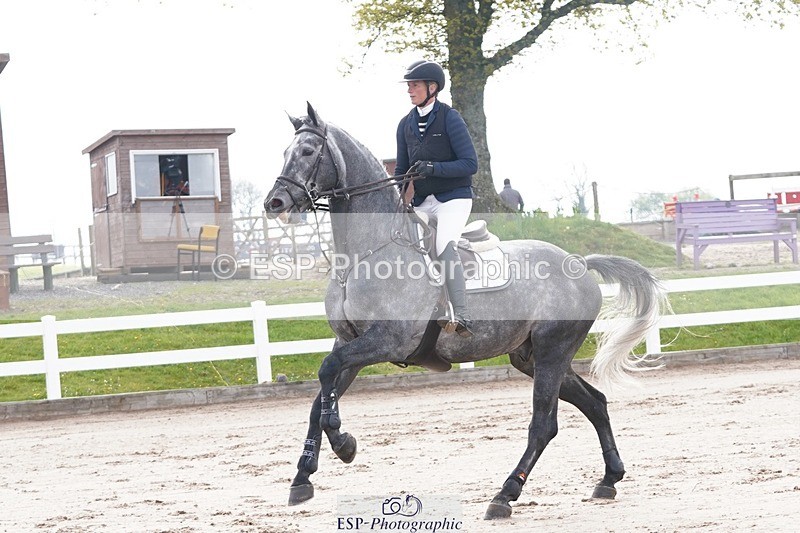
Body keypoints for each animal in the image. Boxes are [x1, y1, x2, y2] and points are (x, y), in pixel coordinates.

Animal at [263, 102, 666, 520]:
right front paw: (303, 476)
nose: (274, 203)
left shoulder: (387, 341)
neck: (364, 255)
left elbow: (327, 376)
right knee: (595, 403)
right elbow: (320, 396)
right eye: (284, 152)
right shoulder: (350, 343)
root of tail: (579, 263)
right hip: (532, 356)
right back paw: (609, 479)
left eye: (307, 151)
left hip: (553, 350)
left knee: (544, 423)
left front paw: (344, 443)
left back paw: (505, 495)